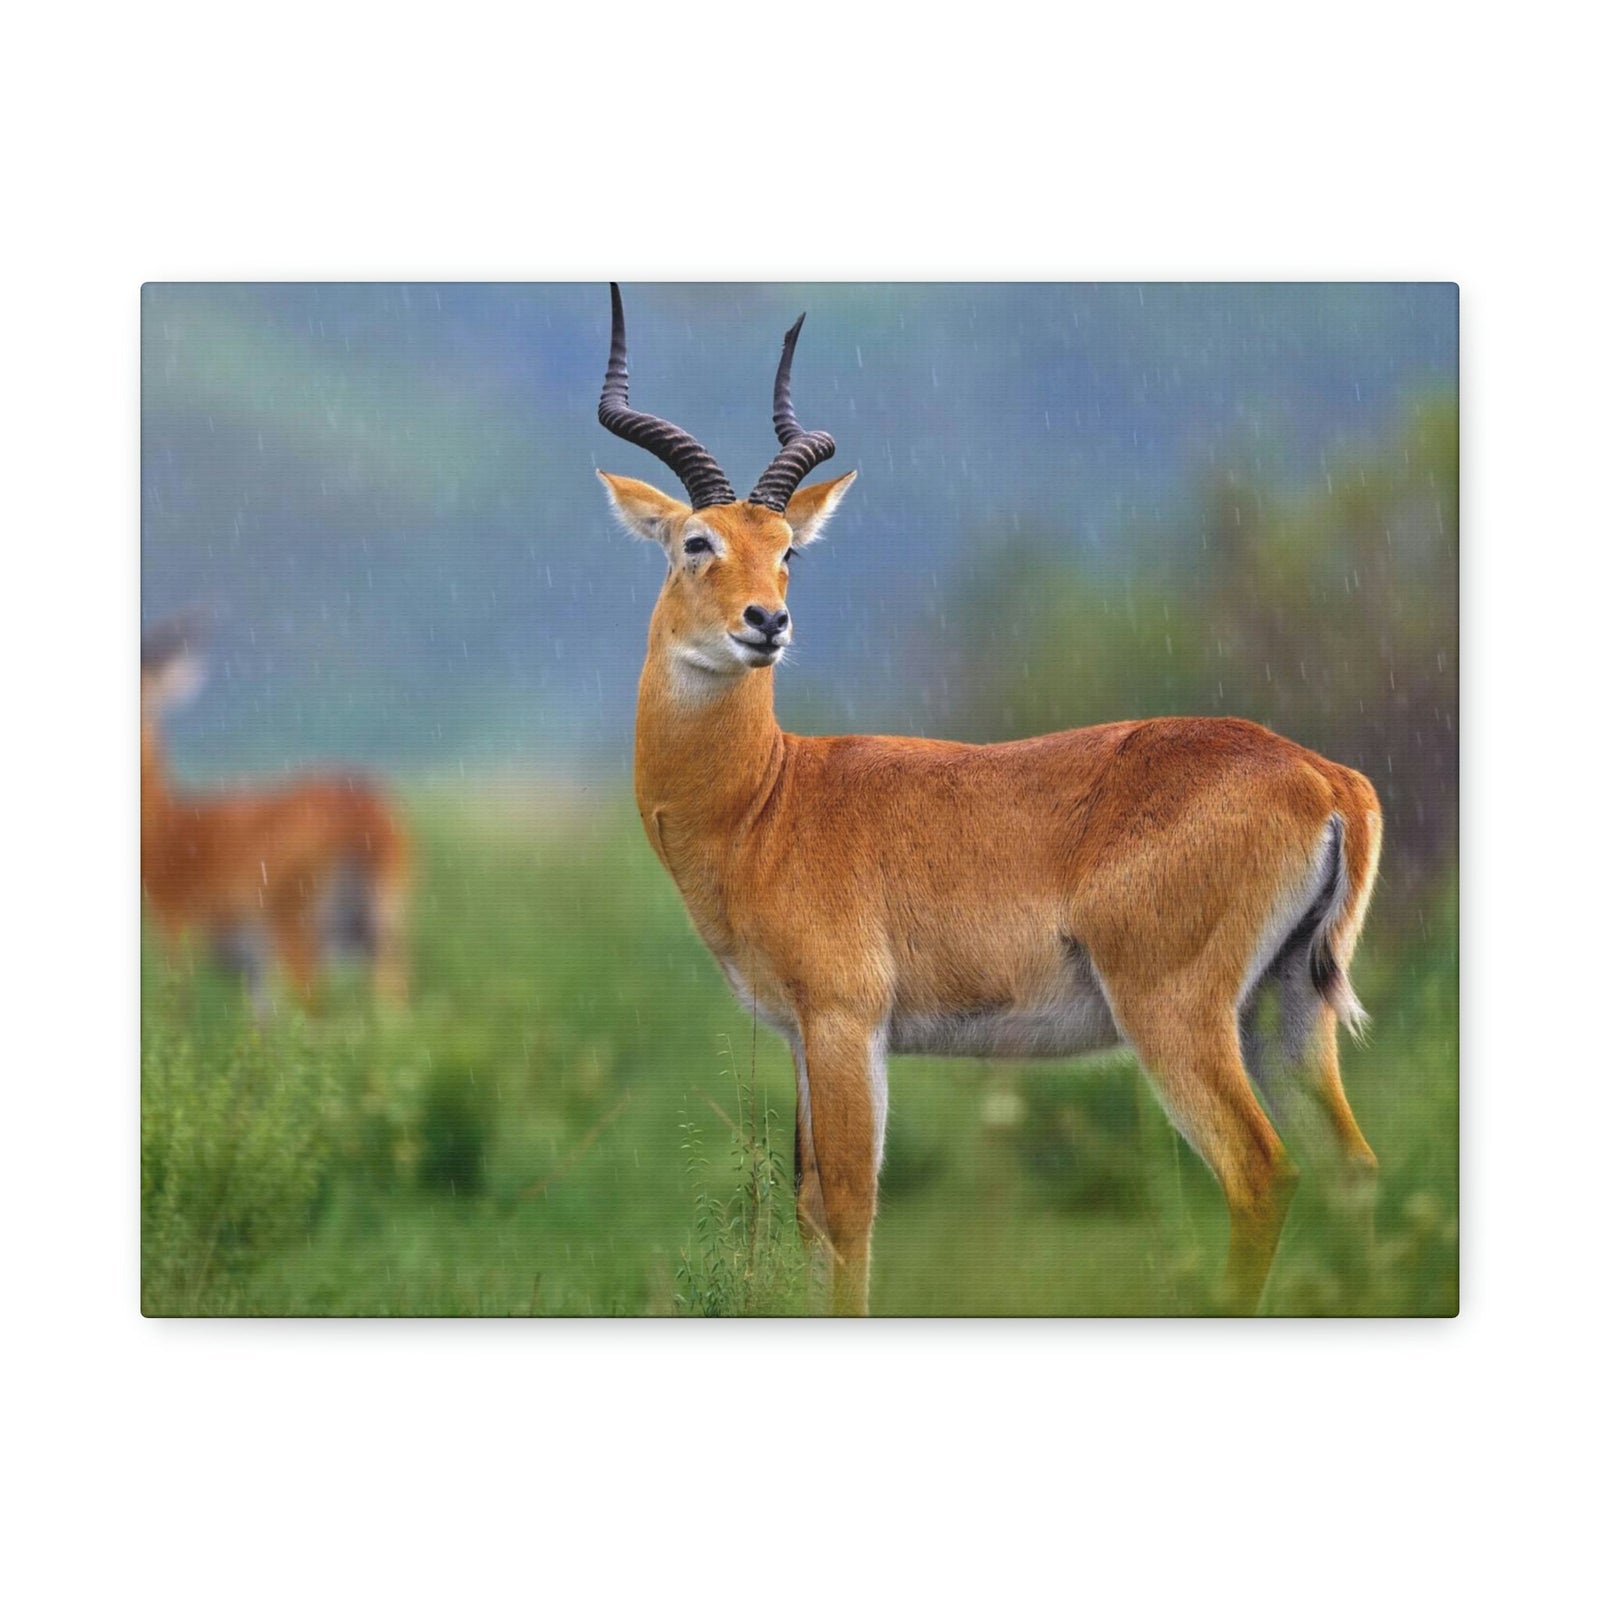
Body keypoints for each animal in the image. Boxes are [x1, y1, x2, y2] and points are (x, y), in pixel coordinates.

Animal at [140, 620, 410, 1012]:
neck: (167, 826)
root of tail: (363, 813)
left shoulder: (175, 926)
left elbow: (177, 1009)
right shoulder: (253, 969)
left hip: (298, 928)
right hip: (382, 926)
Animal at [595, 285, 1381, 1314]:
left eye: (788, 551)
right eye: (699, 541)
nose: (767, 622)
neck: (768, 800)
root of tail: (1326, 779)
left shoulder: (846, 1021)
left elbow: (848, 1207)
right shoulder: (805, 1034)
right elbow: (810, 1207)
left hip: (1176, 1012)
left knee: (1262, 1172)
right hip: (1288, 1008)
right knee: (1352, 1170)